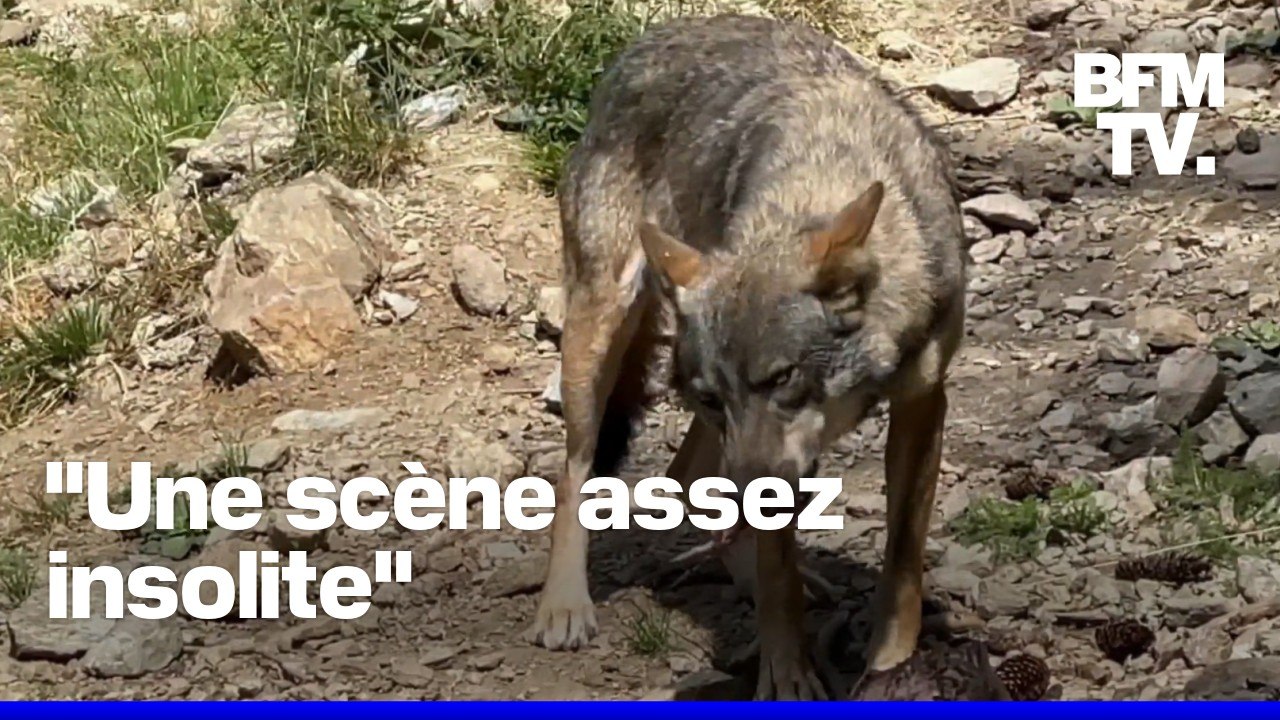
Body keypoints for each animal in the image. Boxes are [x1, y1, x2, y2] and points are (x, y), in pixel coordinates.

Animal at [525, 13, 968, 700]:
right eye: (713, 394)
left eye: (782, 377)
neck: (821, 178)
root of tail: (647, 40)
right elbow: (779, 578)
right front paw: (787, 677)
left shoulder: (923, 403)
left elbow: (902, 559)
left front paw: (891, 660)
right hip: (598, 336)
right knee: (578, 469)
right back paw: (565, 605)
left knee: (685, 479)